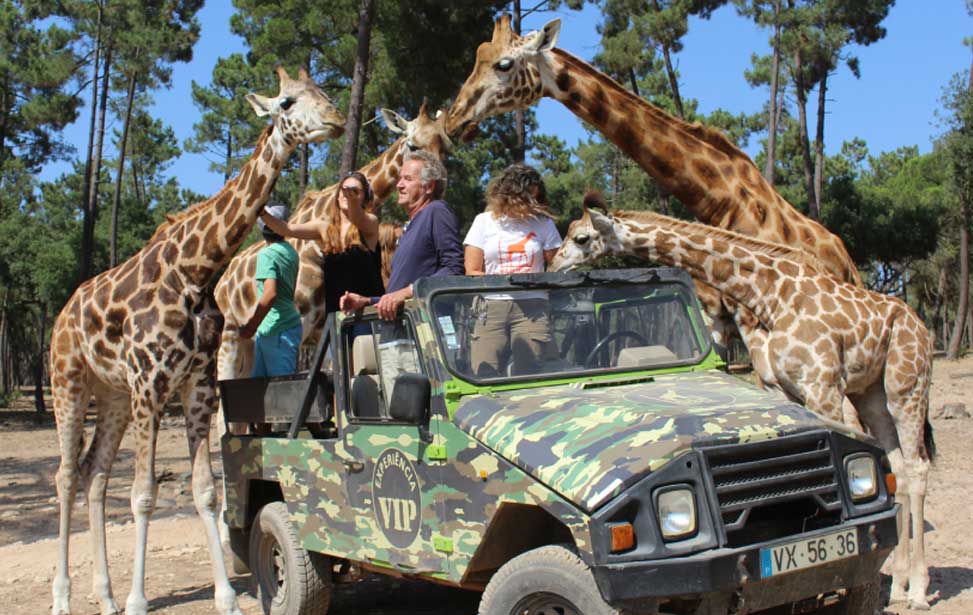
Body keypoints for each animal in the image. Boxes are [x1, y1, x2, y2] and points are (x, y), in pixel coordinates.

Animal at [50, 67, 346, 615]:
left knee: (94, 473)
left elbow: (206, 490)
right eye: (287, 102)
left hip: (113, 394)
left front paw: (226, 596)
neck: (195, 269)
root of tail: (60, 315)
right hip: (69, 384)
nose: (336, 120)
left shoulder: (197, 385)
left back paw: (104, 596)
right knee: (64, 476)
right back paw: (64, 597)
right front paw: (140, 600)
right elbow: (143, 494)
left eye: (323, 92)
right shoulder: (150, 385)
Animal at [215, 102, 450, 380]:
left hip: (250, 344)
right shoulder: (298, 326)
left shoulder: (319, 331)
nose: (438, 182)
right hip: (232, 333)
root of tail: (222, 282)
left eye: (446, 145)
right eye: (412, 145)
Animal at [444, 13, 860, 360]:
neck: (723, 200)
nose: (453, 120)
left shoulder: (754, 325)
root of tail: (848, 263)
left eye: (504, 64)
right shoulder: (713, 317)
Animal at [548, 203, 936, 612]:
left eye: (581, 238)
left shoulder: (823, 385)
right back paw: (901, 586)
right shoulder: (784, 390)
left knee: (917, 466)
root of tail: (923, 327)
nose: (553, 265)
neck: (773, 293)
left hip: (905, 387)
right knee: (898, 464)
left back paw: (919, 590)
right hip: (872, 394)